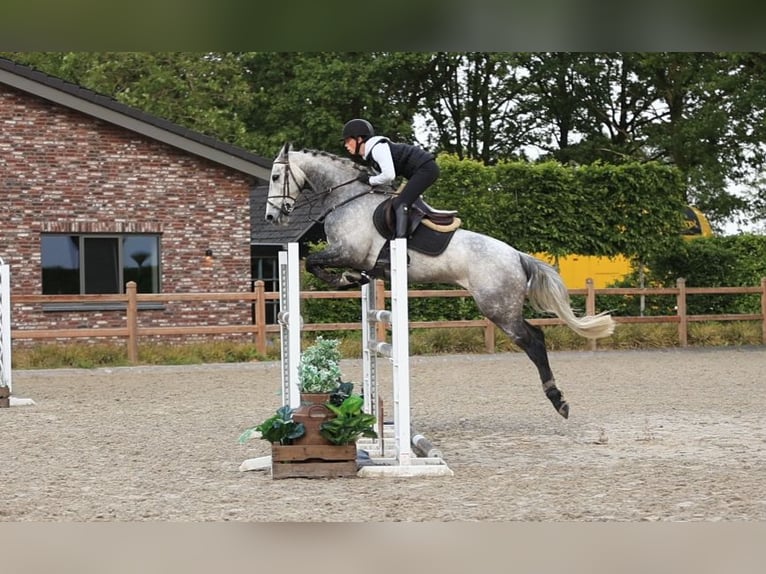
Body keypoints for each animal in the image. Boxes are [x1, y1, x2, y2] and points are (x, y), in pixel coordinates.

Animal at [264, 143, 616, 418]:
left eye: (276, 177)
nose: (271, 217)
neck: (348, 198)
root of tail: (516, 255)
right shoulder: (348, 254)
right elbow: (317, 263)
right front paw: (350, 278)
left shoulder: (347, 251)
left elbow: (312, 262)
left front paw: (340, 279)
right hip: (503, 307)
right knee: (535, 337)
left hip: (498, 308)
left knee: (534, 342)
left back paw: (558, 400)